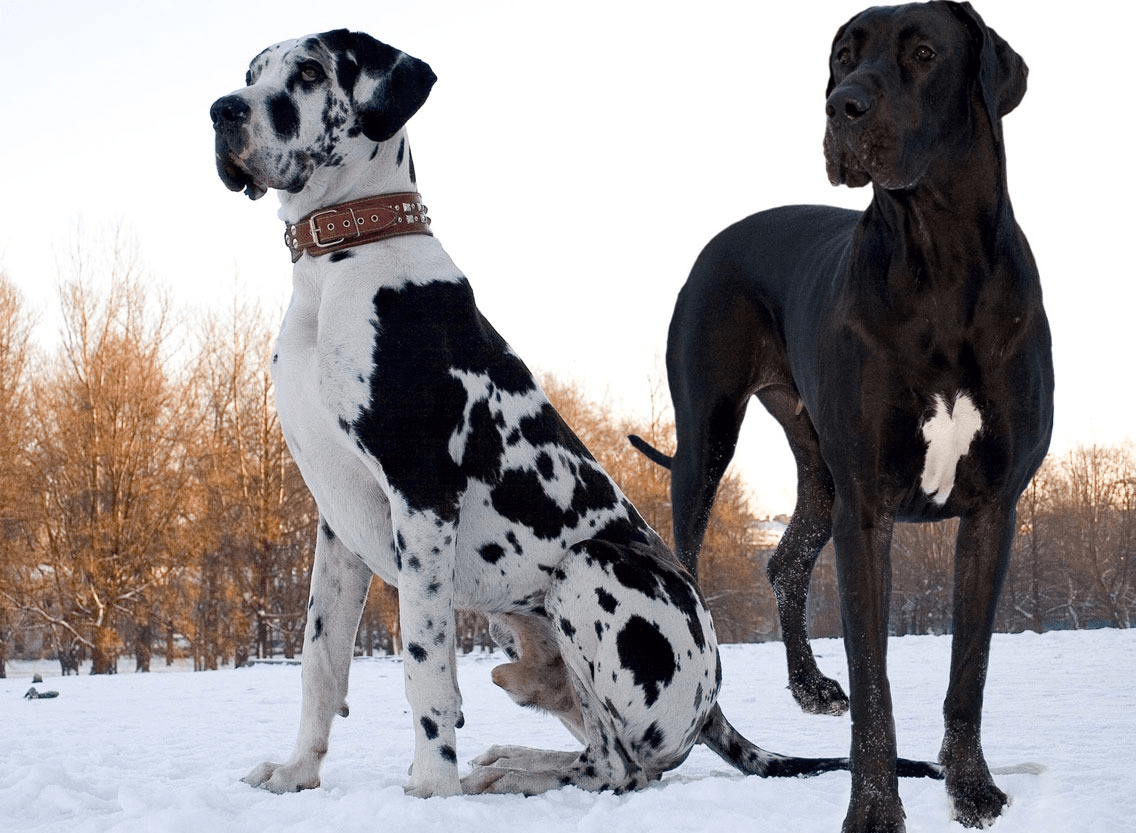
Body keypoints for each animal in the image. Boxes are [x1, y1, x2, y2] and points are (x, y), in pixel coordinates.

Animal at [209, 30, 917, 800]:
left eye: (309, 72)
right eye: (250, 73)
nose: (223, 110)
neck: (339, 263)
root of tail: (712, 705)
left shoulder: (422, 497)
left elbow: (425, 666)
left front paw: (431, 788)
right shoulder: (337, 522)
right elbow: (321, 663)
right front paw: (298, 772)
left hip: (587, 569)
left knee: (622, 769)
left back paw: (503, 772)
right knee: (608, 758)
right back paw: (510, 764)